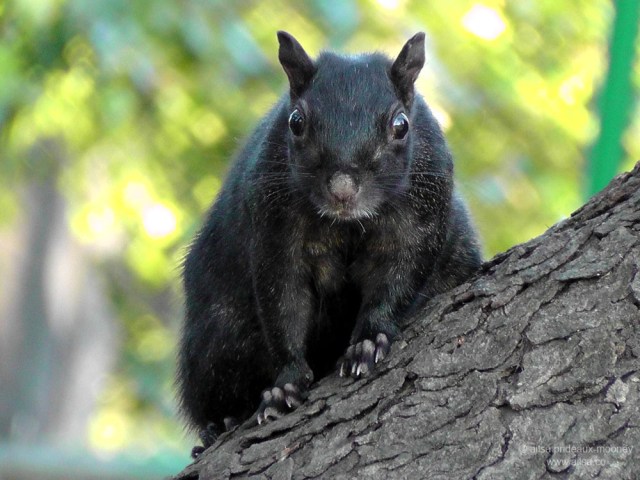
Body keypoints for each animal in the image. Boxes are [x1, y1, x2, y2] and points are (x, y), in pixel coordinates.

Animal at [177, 31, 482, 457]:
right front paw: (285, 385)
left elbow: (399, 278)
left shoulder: (421, 215)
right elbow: (283, 302)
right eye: (296, 122)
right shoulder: (274, 227)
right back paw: (220, 424)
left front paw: (368, 342)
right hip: (217, 337)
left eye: (401, 125)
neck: (346, 224)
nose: (342, 189)